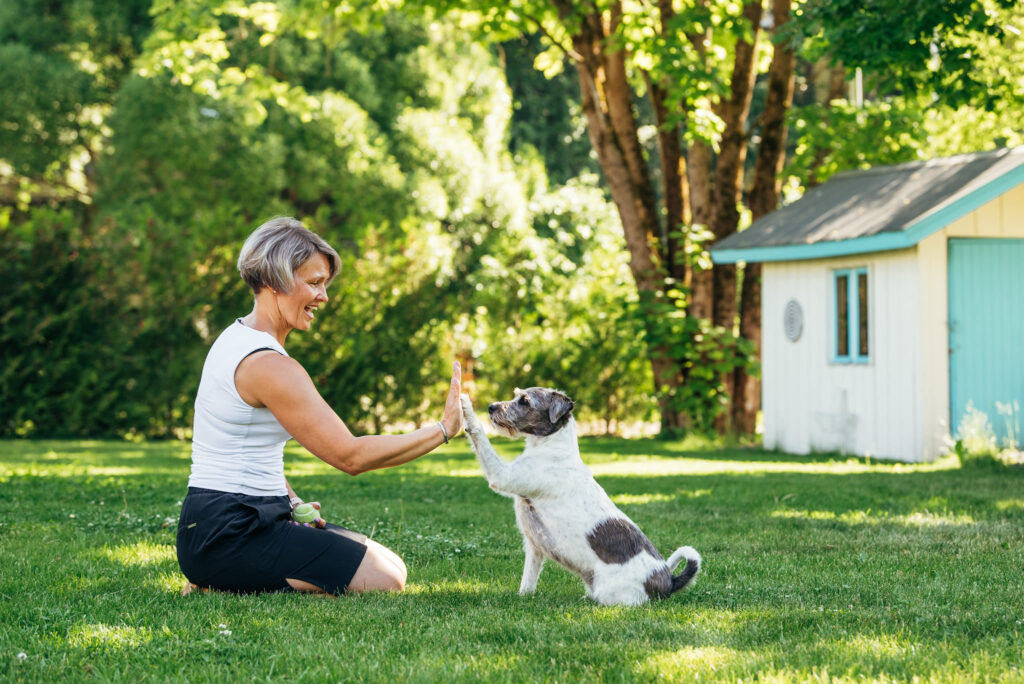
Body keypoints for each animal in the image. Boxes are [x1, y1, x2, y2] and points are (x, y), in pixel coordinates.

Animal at [460, 387, 700, 606]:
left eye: (525, 401)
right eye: (516, 394)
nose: (491, 407)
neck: (551, 445)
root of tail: (669, 581)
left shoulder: (501, 475)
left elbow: (479, 433)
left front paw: (465, 405)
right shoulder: (535, 546)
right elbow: (528, 580)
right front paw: (523, 598)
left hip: (612, 594)